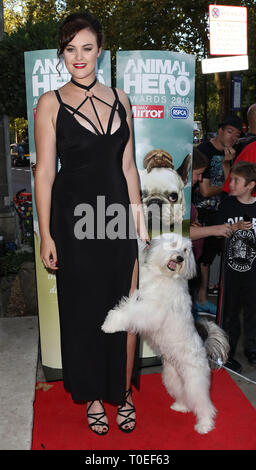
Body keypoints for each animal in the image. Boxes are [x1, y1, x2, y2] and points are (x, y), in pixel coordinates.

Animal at [102, 233, 230, 436]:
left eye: (186, 250)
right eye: (173, 245)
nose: (180, 258)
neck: (163, 276)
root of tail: (203, 347)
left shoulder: (150, 310)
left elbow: (128, 313)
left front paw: (110, 323)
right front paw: (139, 240)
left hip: (195, 382)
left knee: (205, 405)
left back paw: (204, 425)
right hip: (172, 379)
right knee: (185, 396)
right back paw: (181, 406)